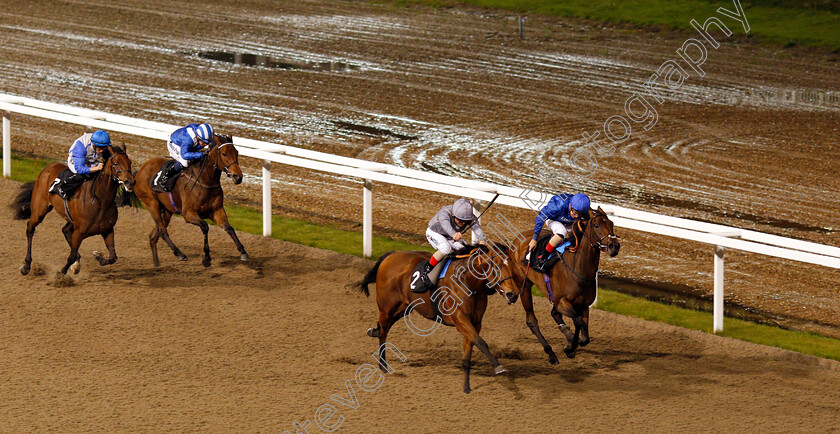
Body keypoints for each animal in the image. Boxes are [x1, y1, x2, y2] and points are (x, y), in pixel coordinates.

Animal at [11, 146, 135, 274]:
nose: (130, 182)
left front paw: (97, 256)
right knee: (30, 228)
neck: (101, 201)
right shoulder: (79, 232)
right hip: (39, 210)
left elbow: (113, 257)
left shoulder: (108, 230)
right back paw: (26, 265)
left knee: (65, 230)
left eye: (130, 162)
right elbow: (71, 256)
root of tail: (48, 167)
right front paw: (61, 273)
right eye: (115, 163)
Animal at [133, 134, 248, 266]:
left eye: (236, 152)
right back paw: (179, 254)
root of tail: (139, 171)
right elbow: (205, 227)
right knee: (162, 230)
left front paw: (243, 251)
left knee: (154, 235)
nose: (238, 177)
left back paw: (157, 263)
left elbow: (229, 228)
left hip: (167, 210)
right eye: (224, 154)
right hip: (151, 203)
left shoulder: (217, 211)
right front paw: (206, 258)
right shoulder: (188, 214)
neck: (204, 181)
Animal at [360, 244, 520, 394]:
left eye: (512, 266)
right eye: (496, 266)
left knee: (382, 327)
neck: (467, 281)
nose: (513, 294)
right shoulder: (460, 319)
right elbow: (481, 342)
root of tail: (391, 255)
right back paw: (383, 366)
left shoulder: (475, 322)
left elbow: (470, 350)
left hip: (404, 307)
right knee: (383, 331)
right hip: (387, 308)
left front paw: (466, 387)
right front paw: (499, 367)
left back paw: (373, 333)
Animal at [508, 207, 620, 362]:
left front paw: (572, 342)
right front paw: (570, 347)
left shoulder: (583, 305)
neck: (578, 269)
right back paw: (551, 353)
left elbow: (584, 335)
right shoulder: (562, 302)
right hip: (524, 285)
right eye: (596, 225)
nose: (614, 246)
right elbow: (578, 321)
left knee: (554, 314)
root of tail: (519, 238)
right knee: (531, 320)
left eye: (611, 223)